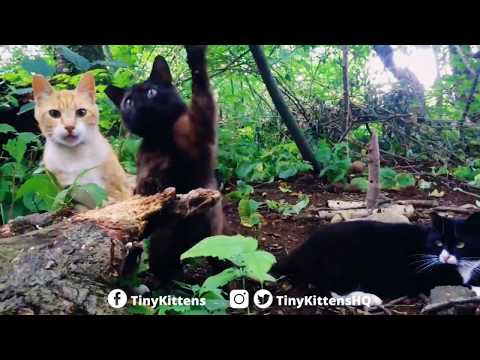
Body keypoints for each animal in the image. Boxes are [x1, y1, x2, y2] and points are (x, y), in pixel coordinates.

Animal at [32, 72, 133, 205]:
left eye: (82, 112)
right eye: (54, 113)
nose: (69, 126)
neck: (75, 156)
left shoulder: (122, 188)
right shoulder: (68, 192)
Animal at [105, 45, 223, 282]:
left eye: (151, 92)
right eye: (128, 102)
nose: (140, 107)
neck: (161, 136)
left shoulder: (199, 130)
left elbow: (201, 91)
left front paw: (195, 57)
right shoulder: (145, 159)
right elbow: (146, 176)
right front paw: (148, 186)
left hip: (216, 242)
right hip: (161, 247)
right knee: (164, 270)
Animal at [272, 212, 480, 306]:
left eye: (461, 245)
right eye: (438, 243)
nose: (445, 256)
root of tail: (301, 249)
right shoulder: (428, 277)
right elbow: (463, 285)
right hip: (342, 262)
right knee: (327, 291)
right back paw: (369, 298)